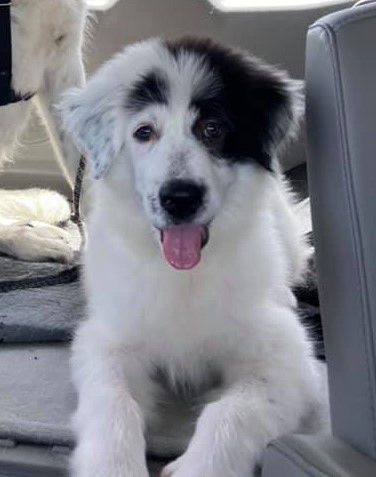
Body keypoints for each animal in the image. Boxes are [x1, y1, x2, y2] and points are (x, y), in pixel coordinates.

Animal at [60, 38, 328, 476]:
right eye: (144, 132)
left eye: (212, 129)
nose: (180, 198)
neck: (184, 276)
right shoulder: (108, 337)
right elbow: (114, 400)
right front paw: (114, 464)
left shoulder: (287, 358)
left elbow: (231, 412)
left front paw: (200, 466)